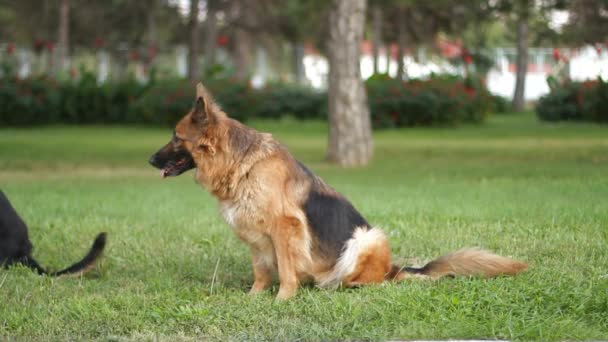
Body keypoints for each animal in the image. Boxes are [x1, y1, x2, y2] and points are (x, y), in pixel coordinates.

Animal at [148, 83, 528, 300]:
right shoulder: (255, 233)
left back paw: (348, 285)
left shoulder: (285, 228)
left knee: (375, 281)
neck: (241, 164)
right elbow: (261, 271)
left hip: (367, 236)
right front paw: (254, 298)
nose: (150, 159)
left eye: (176, 138)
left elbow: (285, 271)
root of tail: (393, 267)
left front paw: (282, 300)